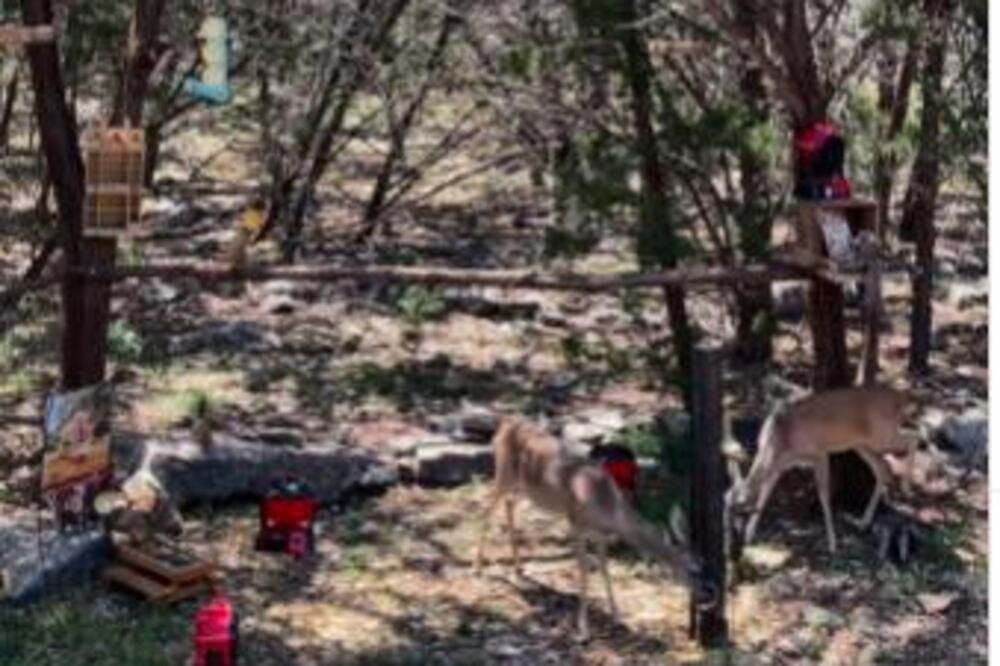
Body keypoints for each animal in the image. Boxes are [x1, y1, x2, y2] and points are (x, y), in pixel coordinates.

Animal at [474, 418, 704, 636]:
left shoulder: (601, 533)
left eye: (704, 564)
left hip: (521, 486)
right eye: (693, 570)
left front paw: (616, 615)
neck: (608, 507)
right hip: (502, 473)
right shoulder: (575, 522)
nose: (707, 593)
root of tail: (503, 426)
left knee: (509, 505)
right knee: (486, 511)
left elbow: (604, 568)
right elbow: (583, 569)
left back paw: (518, 568)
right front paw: (583, 628)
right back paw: (478, 569)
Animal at [724, 382, 916, 552]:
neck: (779, 440)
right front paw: (750, 535)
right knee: (883, 468)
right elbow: (765, 493)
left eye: (736, 510)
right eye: (724, 503)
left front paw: (832, 544)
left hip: (882, 435)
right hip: (862, 444)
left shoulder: (819, 454)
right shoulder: (780, 465)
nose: (731, 543)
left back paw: (907, 488)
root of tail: (900, 397)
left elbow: (823, 495)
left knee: (911, 438)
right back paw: (864, 522)